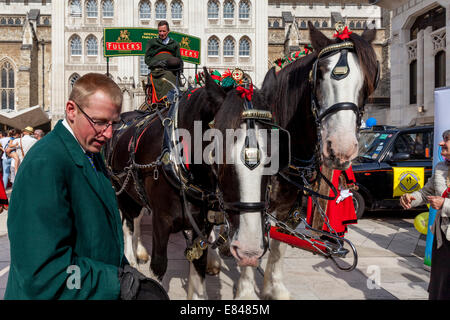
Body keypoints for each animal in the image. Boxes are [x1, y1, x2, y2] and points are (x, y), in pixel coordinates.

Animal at [106, 66, 282, 298]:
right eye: (218, 152)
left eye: (275, 155)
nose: (249, 249)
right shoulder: (161, 220)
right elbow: (159, 265)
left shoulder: (203, 223)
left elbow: (198, 265)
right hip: (122, 189)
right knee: (129, 221)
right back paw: (132, 257)